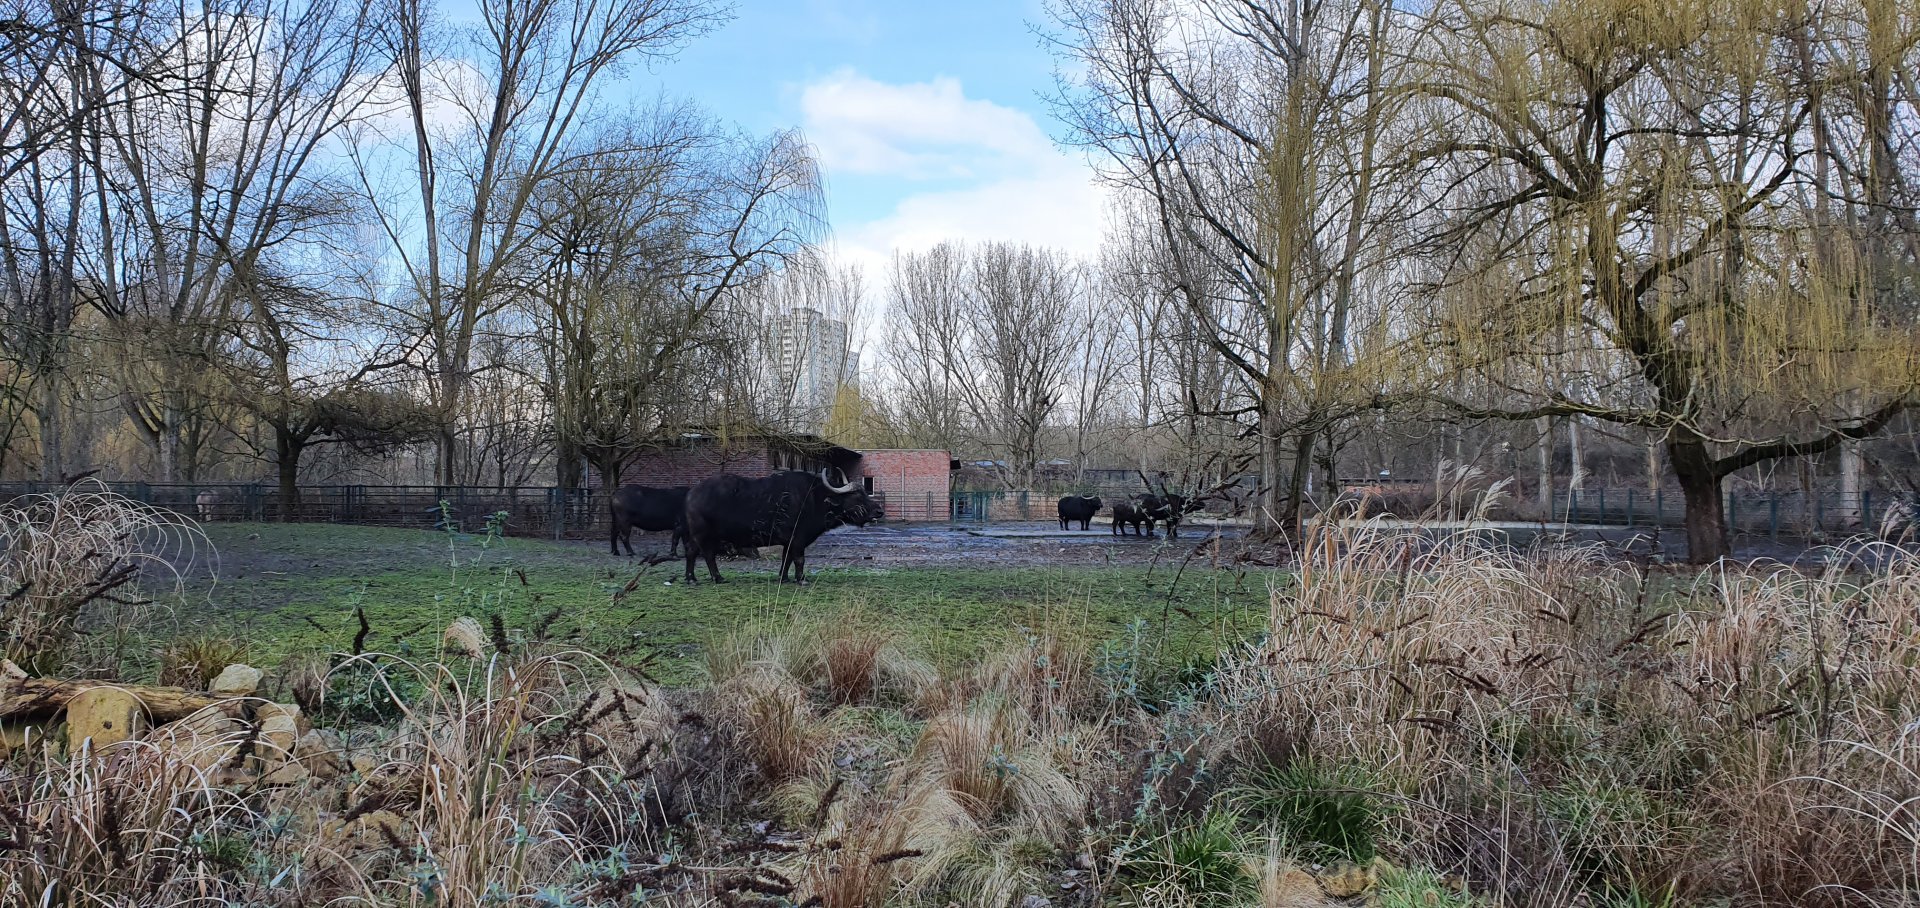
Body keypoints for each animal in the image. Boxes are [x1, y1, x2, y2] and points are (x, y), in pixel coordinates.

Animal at [684, 469, 883, 584]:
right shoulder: (798, 539)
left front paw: (783, 577)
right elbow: (799, 559)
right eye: (857, 496)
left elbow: (786, 559)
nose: (879, 511)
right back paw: (717, 577)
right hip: (704, 535)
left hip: (694, 536)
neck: (815, 499)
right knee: (708, 555)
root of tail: (691, 494)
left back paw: (691, 578)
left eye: (866, 492)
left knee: (690, 553)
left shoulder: (789, 541)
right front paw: (802, 579)